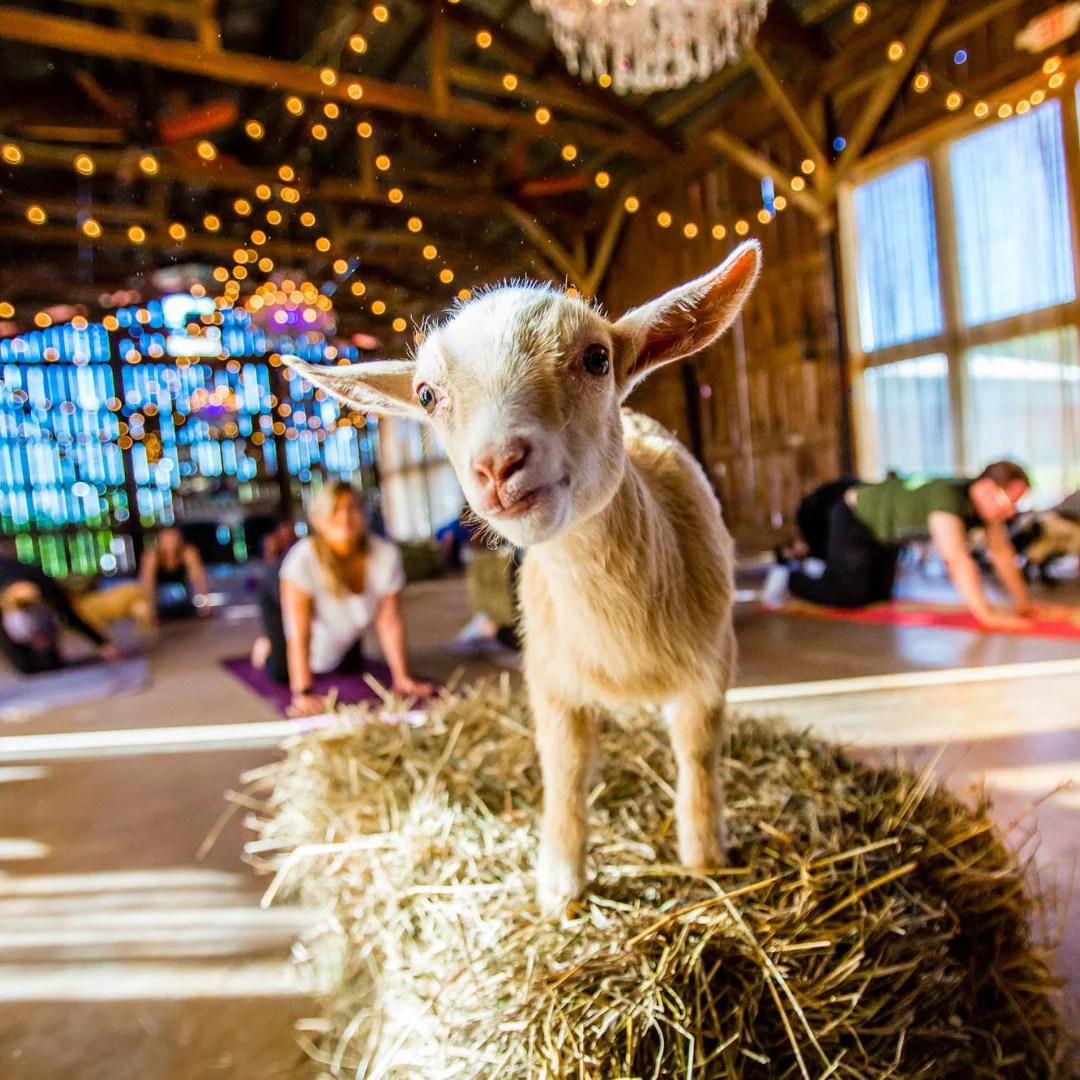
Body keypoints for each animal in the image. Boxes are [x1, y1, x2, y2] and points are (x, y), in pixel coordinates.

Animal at [289, 240, 761, 911]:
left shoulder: (710, 670)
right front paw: (561, 883)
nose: (497, 464)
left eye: (597, 358)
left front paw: (704, 857)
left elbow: (697, 756)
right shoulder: (550, 679)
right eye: (427, 394)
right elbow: (565, 771)